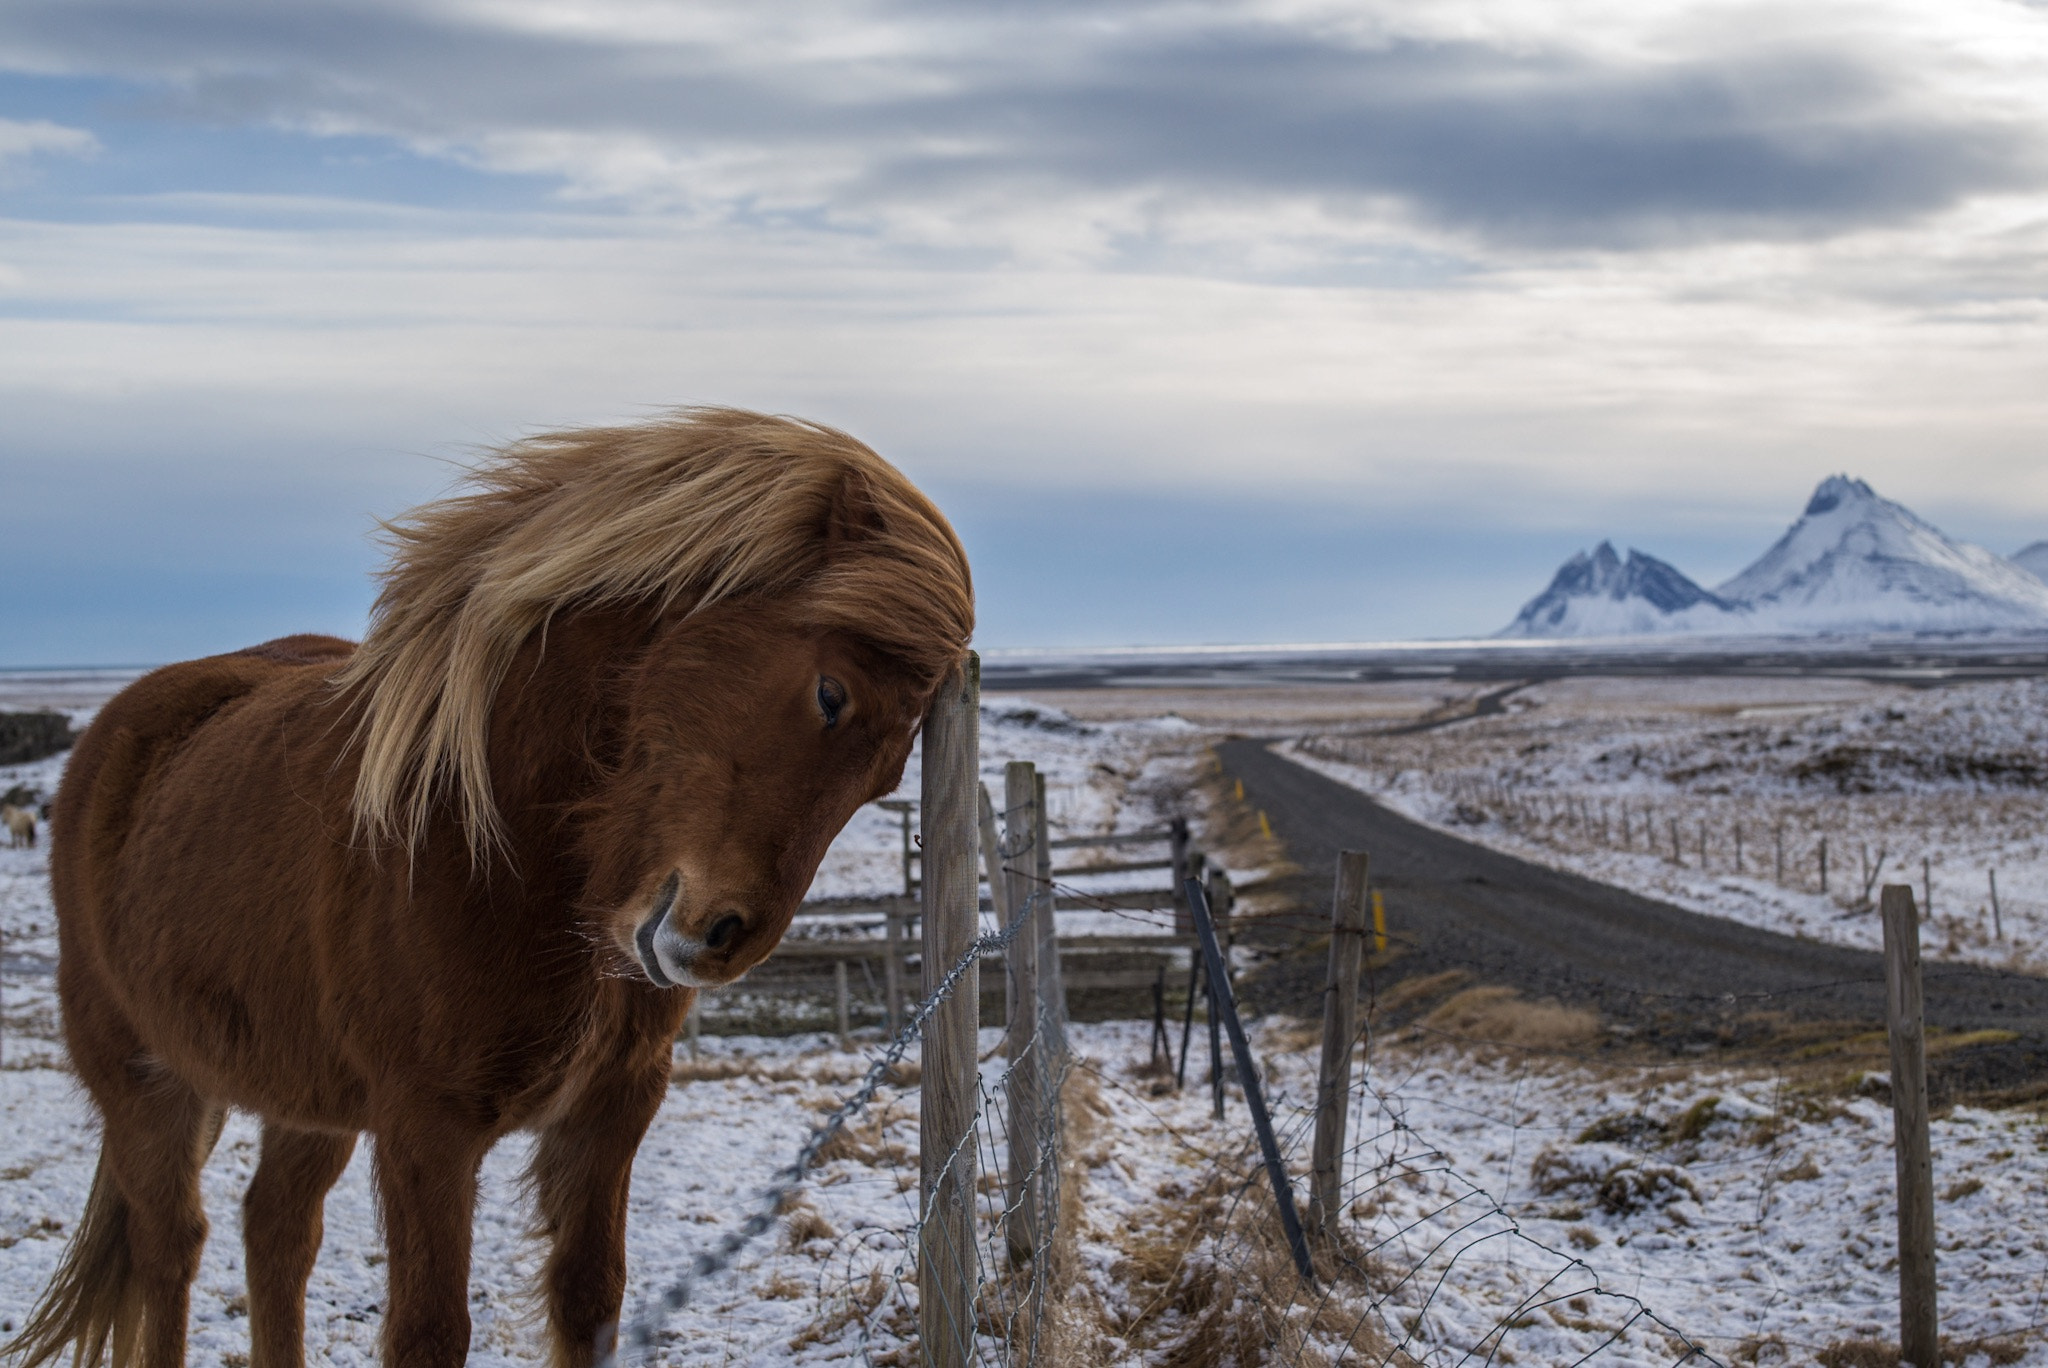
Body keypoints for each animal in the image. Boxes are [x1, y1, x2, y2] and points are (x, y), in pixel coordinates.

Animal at [4, 411, 974, 1368]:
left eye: (889, 778)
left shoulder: (612, 1108)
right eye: (830, 694)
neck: (505, 853)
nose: (721, 940)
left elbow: (590, 1301)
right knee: (170, 1250)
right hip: (143, 1080)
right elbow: (430, 1330)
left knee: (275, 1231)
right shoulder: (426, 1130)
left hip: (306, 1098)